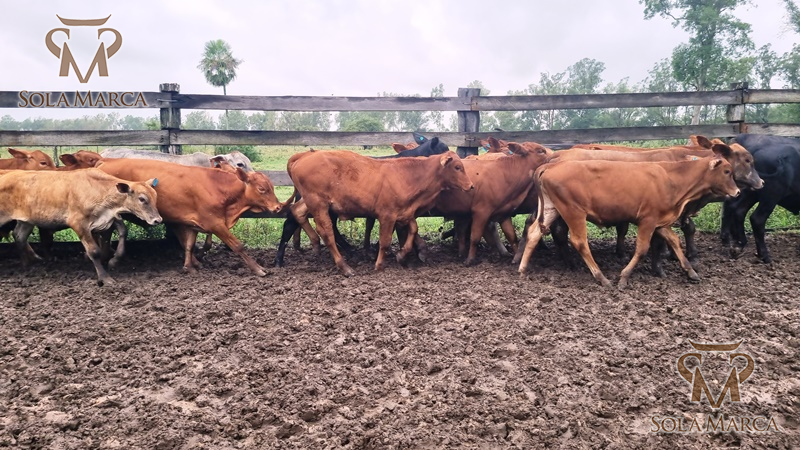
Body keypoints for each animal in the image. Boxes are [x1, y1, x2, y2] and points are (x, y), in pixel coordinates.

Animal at [0, 169, 161, 285]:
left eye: (155, 196)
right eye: (142, 199)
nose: (157, 220)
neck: (98, 190)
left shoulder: (107, 218)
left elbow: (123, 231)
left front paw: (114, 260)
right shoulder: (78, 223)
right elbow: (94, 251)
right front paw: (105, 278)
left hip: (26, 220)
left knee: (19, 236)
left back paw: (28, 264)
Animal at [95, 158, 282, 276]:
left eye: (271, 187)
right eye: (262, 189)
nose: (278, 207)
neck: (217, 187)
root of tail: (105, 161)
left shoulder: (193, 224)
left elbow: (189, 245)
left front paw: (189, 267)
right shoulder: (216, 224)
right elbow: (238, 246)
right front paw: (258, 269)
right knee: (107, 232)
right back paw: (110, 258)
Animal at [287, 150, 474, 276]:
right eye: (457, 167)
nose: (471, 185)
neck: (409, 175)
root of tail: (304, 156)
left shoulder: (405, 213)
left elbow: (413, 229)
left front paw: (402, 255)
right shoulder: (387, 215)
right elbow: (385, 241)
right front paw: (379, 264)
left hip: (311, 201)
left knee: (297, 212)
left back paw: (315, 244)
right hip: (318, 204)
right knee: (327, 233)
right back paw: (345, 267)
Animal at [517, 156, 740, 288]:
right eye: (727, 172)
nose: (738, 192)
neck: (671, 178)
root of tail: (551, 165)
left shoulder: (659, 221)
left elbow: (675, 241)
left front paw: (691, 271)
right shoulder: (647, 220)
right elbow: (642, 249)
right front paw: (623, 277)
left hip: (552, 208)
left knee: (535, 233)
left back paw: (522, 268)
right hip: (574, 212)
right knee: (580, 242)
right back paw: (601, 277)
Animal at [721, 134, 800, 263]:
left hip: (750, 193)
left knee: (736, 209)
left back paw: (737, 243)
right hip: (770, 197)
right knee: (757, 219)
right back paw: (764, 255)